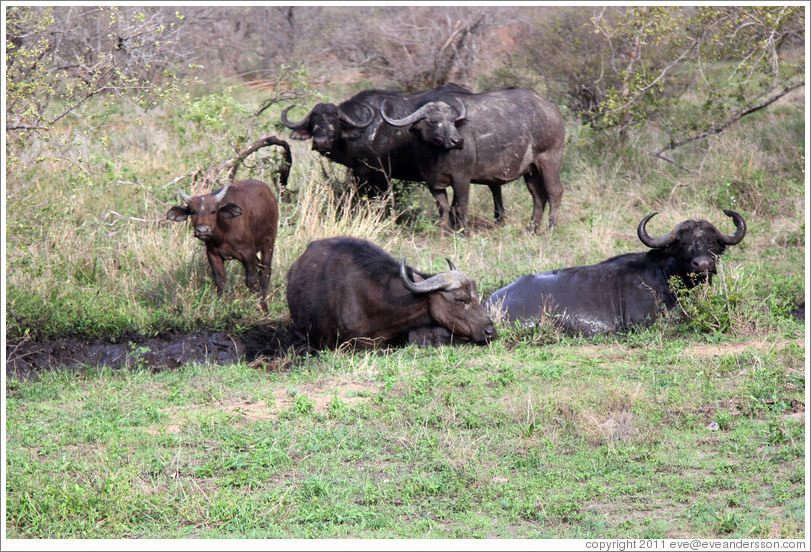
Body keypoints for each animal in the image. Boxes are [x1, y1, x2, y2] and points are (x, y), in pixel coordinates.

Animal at [167, 179, 279, 312]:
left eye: (213, 211)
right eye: (192, 211)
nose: (202, 230)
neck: (223, 235)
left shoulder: (248, 253)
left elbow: (252, 281)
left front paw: (262, 308)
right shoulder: (213, 255)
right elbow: (220, 282)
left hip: (269, 242)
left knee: (266, 270)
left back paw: (265, 298)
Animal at [381, 87, 565, 234]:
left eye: (454, 122)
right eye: (433, 121)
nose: (457, 141)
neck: (435, 156)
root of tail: (552, 110)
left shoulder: (461, 178)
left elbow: (460, 205)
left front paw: (464, 232)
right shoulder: (432, 182)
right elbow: (443, 207)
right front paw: (444, 232)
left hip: (550, 161)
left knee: (554, 191)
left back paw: (551, 228)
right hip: (531, 170)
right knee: (538, 196)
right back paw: (531, 229)